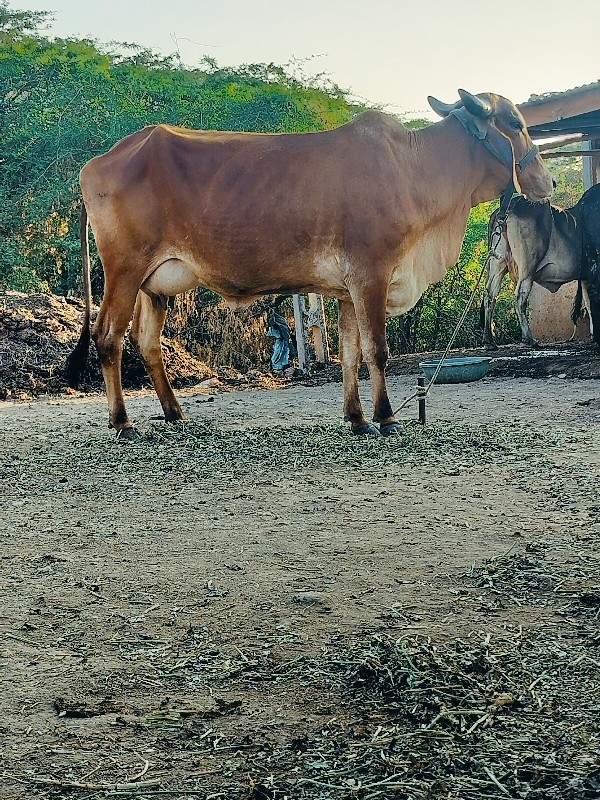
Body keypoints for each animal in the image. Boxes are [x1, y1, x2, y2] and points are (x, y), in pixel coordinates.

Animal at [68, 88, 552, 438]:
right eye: (515, 123)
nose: (546, 181)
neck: (412, 170)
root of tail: (96, 162)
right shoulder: (371, 274)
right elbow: (377, 350)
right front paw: (386, 417)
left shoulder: (346, 289)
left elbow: (350, 353)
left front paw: (357, 418)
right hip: (124, 270)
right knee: (108, 336)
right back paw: (123, 422)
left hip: (155, 284)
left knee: (147, 342)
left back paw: (174, 413)